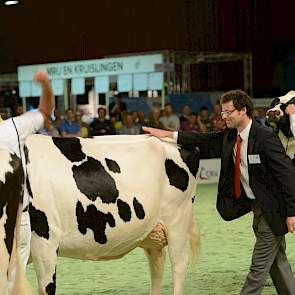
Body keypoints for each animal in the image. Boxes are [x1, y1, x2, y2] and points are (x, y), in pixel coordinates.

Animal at [25, 135, 201, 295]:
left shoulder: (45, 240)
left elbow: (46, 287)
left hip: (177, 220)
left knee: (179, 264)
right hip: (151, 229)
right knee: (157, 263)